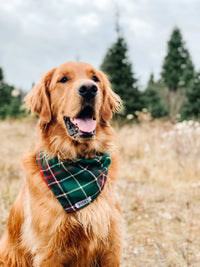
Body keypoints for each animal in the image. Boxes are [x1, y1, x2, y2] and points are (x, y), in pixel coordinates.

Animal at [0, 61, 122, 266]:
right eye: (63, 79)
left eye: (95, 78)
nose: (89, 89)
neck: (81, 164)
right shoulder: (50, 251)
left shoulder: (110, 246)